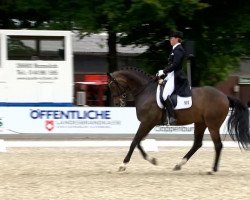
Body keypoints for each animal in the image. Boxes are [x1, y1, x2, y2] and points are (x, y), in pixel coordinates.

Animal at [108, 67, 250, 173]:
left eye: (113, 85)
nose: (117, 103)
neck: (146, 91)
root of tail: (224, 96)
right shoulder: (148, 123)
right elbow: (138, 142)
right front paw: (152, 160)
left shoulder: (147, 122)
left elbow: (134, 142)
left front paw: (123, 164)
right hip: (200, 123)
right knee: (197, 144)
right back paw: (179, 164)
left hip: (212, 125)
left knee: (218, 145)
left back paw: (212, 169)